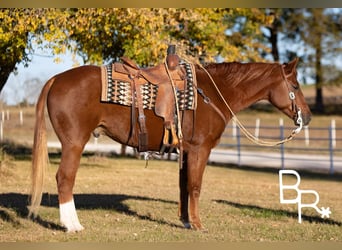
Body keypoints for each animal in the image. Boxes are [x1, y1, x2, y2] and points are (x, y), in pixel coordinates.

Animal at [30, 57, 312, 231]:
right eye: (296, 85)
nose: (307, 117)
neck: (212, 93)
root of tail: (56, 79)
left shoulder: (185, 151)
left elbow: (184, 186)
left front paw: (186, 222)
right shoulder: (200, 149)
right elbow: (196, 186)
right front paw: (198, 225)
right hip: (74, 143)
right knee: (65, 179)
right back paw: (72, 225)